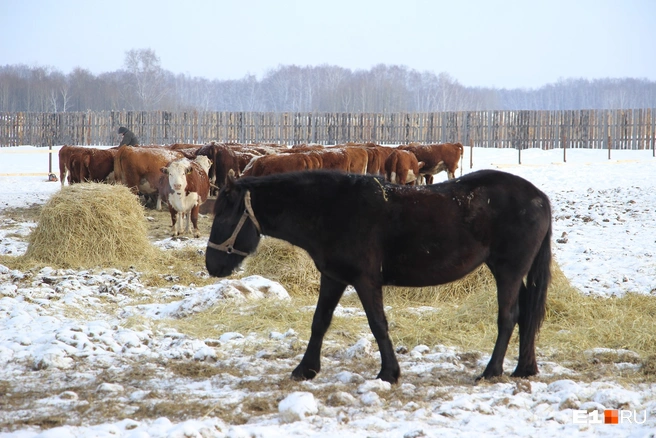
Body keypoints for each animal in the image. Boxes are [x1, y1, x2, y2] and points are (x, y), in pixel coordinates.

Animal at [205, 169, 552, 384]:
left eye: (224, 216)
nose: (212, 265)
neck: (332, 210)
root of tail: (539, 197)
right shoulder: (334, 278)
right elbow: (320, 322)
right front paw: (306, 369)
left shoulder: (365, 280)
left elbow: (378, 324)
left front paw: (389, 373)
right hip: (516, 274)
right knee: (526, 315)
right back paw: (524, 368)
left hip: (508, 271)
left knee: (509, 317)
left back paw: (491, 371)